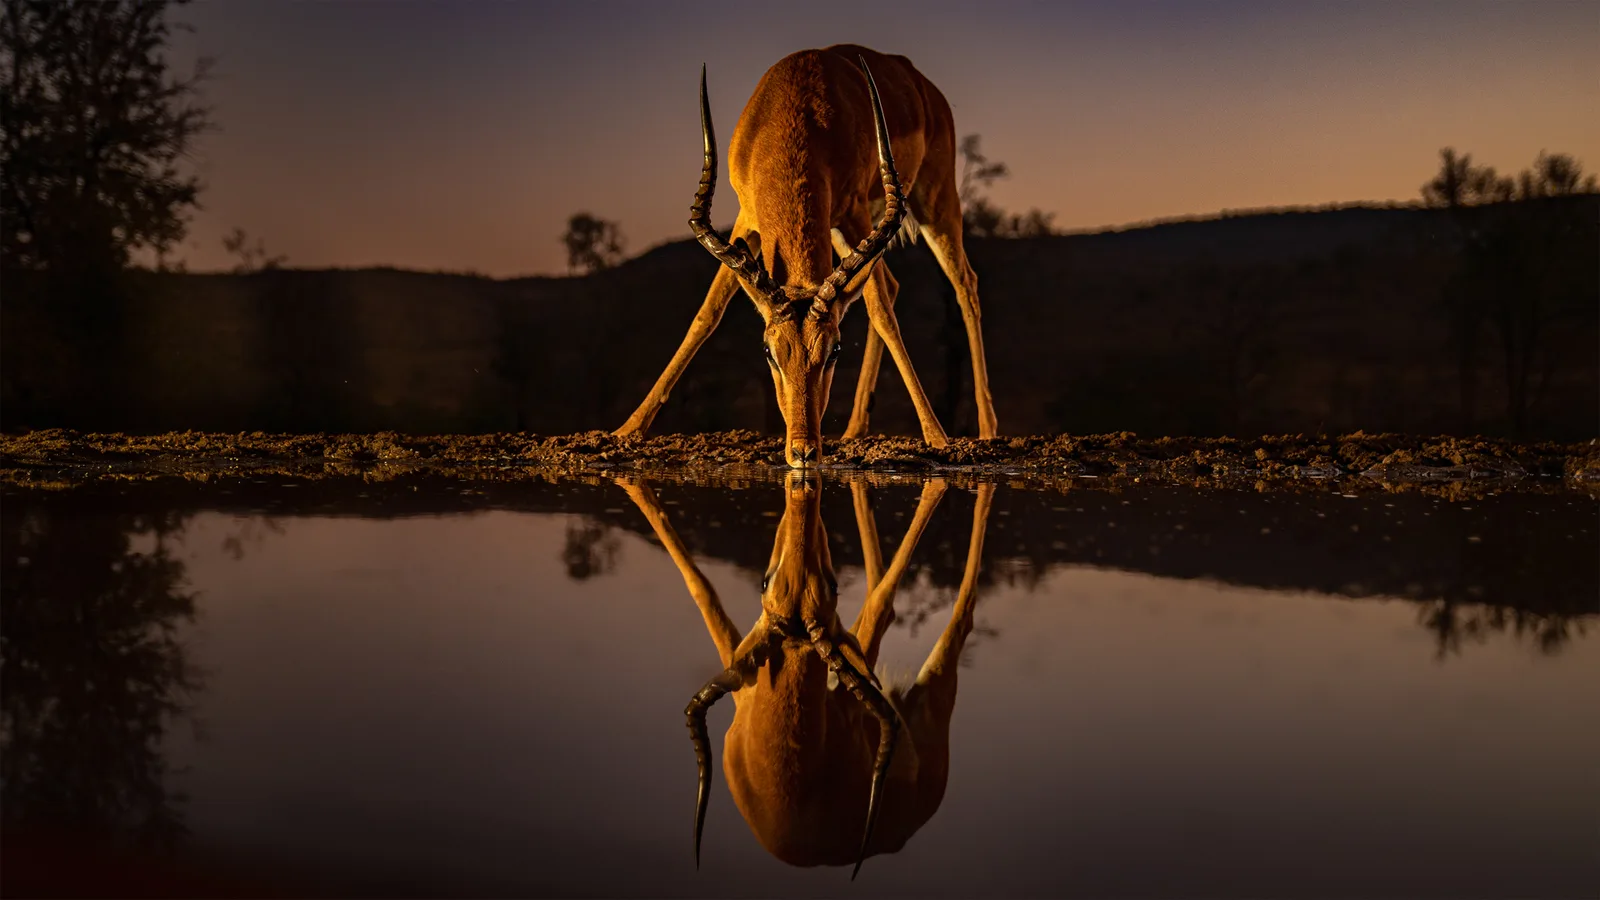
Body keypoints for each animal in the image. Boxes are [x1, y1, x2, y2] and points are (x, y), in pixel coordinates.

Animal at [613, 46, 1000, 468]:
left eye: (834, 350)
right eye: (768, 350)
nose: (803, 451)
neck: (795, 114)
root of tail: (919, 80)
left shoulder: (855, 213)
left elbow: (881, 311)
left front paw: (937, 437)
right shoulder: (746, 219)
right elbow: (707, 314)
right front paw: (627, 429)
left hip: (935, 203)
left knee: (964, 285)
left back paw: (986, 429)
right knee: (894, 285)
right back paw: (854, 430)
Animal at [615, 472, 995, 878]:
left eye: (833, 585)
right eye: (764, 582)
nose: (802, 501)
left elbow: (882, 604)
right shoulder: (747, 675)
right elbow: (702, 590)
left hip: (934, 690)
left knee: (943, 611)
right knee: (885, 589)